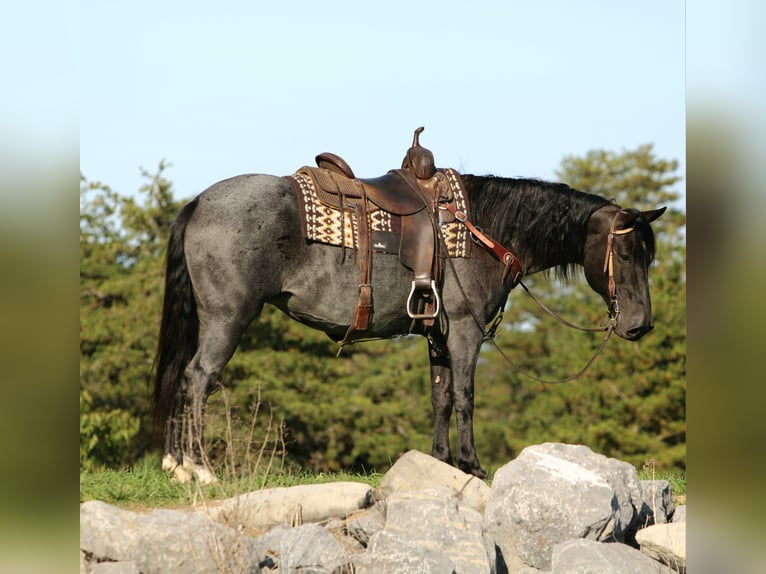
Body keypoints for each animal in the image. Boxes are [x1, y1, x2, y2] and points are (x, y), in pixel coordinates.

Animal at [150, 164, 665, 484]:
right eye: (625, 253)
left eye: (648, 255)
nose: (641, 324)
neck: (484, 230)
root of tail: (199, 202)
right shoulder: (465, 331)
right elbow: (464, 396)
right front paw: (472, 465)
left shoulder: (437, 335)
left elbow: (440, 398)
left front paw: (441, 462)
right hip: (228, 317)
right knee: (199, 378)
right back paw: (199, 468)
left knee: (182, 376)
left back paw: (175, 464)